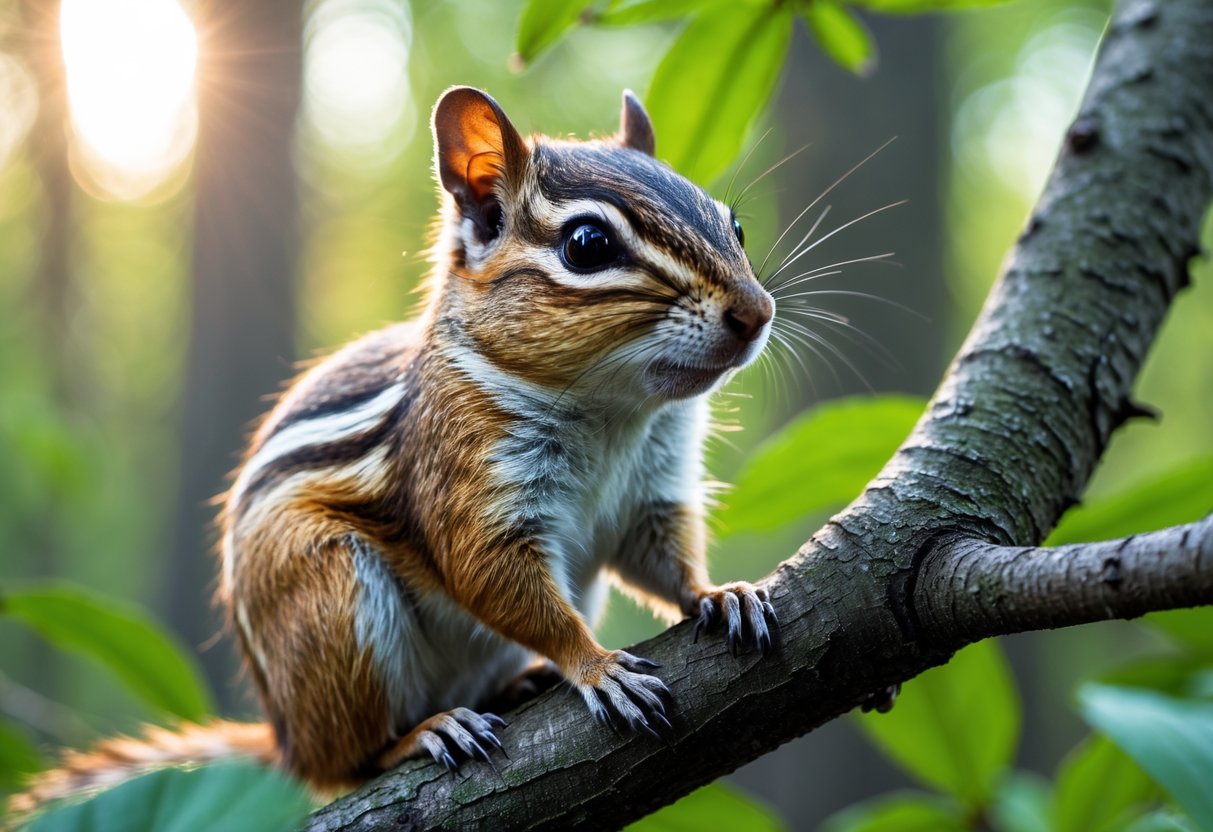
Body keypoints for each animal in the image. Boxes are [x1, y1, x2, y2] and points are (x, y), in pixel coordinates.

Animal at [13, 86, 779, 808]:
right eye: (587, 245)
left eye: (734, 224)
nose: (757, 312)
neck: (616, 413)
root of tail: (285, 736)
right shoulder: (469, 479)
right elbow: (493, 579)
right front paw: (597, 666)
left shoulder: (653, 489)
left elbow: (663, 560)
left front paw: (719, 593)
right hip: (332, 605)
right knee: (347, 763)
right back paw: (428, 731)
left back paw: (515, 686)